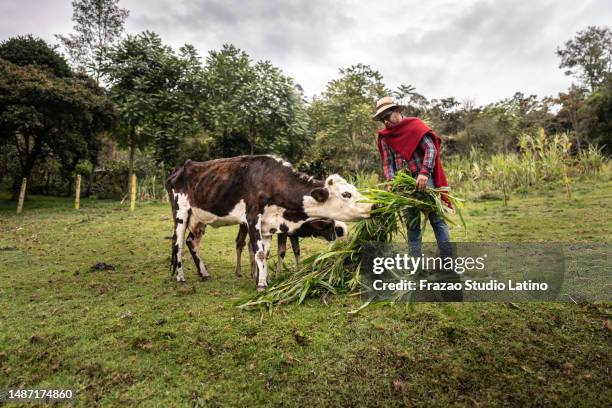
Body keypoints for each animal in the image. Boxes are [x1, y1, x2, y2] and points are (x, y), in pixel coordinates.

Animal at [165, 155, 370, 292]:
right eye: (346, 194)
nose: (373, 205)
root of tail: (179, 168)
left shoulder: (268, 226)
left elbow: (266, 252)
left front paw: (263, 279)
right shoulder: (252, 218)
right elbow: (260, 253)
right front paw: (262, 284)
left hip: (199, 218)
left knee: (192, 241)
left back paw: (204, 273)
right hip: (181, 212)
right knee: (178, 243)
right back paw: (181, 277)